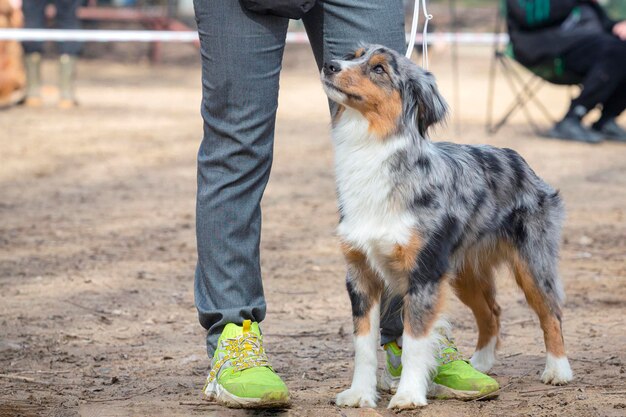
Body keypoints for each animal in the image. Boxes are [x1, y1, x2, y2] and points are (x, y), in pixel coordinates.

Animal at [322, 44, 572, 408]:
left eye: (379, 69)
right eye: (353, 55)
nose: (329, 65)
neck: (373, 151)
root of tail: (518, 158)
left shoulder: (424, 272)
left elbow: (414, 340)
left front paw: (409, 395)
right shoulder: (360, 273)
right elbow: (363, 344)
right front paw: (359, 394)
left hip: (532, 263)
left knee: (550, 312)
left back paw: (558, 369)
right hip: (462, 273)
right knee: (491, 311)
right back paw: (480, 364)